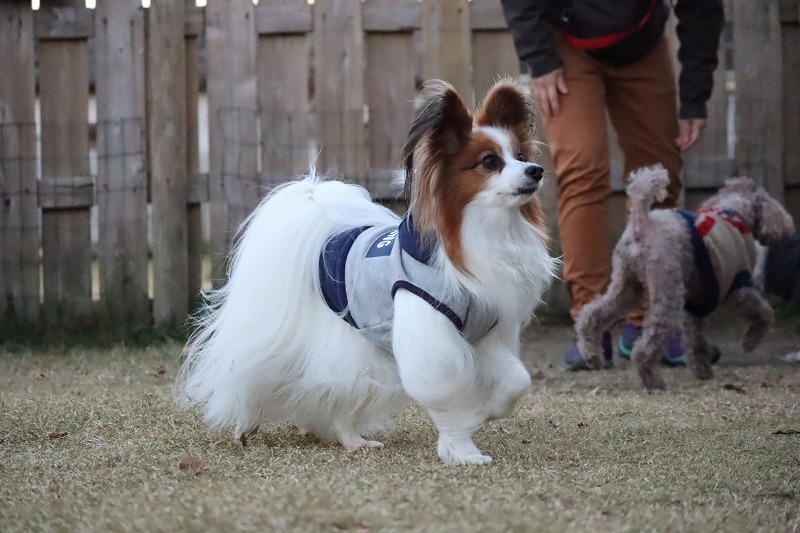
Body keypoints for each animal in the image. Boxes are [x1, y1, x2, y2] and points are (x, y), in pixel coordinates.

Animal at [175, 79, 557, 465]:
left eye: (521, 156)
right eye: (490, 161)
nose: (535, 170)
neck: (478, 235)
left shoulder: (483, 336)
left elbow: (516, 381)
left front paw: (488, 412)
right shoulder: (434, 343)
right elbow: (449, 394)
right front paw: (463, 450)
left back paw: (353, 440)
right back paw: (248, 425)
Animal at [576, 165, 794, 391]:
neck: (732, 212)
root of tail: (641, 222)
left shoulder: (695, 304)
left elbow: (695, 341)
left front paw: (703, 371)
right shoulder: (737, 290)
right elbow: (764, 312)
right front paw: (749, 342)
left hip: (627, 286)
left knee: (591, 315)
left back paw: (592, 356)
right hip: (666, 291)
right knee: (645, 347)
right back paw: (653, 381)